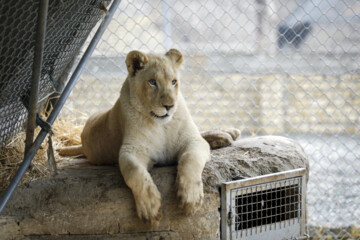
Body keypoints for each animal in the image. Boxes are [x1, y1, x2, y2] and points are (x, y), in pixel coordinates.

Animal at [59, 49, 239, 227]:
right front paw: (150, 207)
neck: (162, 126)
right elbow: (135, 172)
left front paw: (190, 196)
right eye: (152, 82)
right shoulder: (131, 151)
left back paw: (227, 134)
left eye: (174, 82)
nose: (169, 106)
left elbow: (190, 159)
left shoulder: (192, 140)